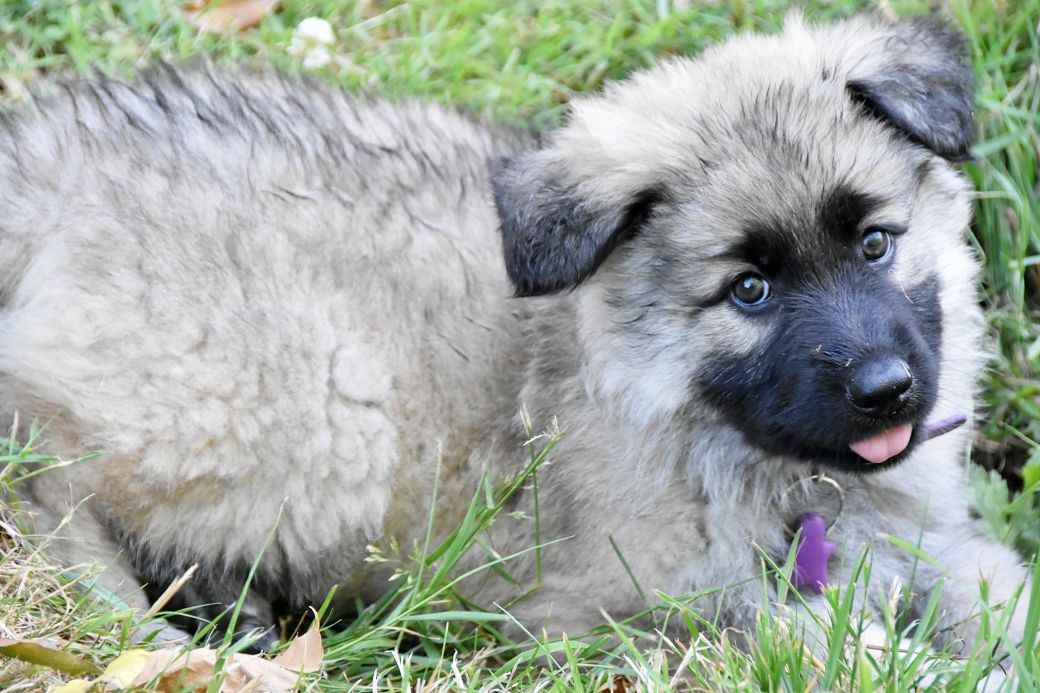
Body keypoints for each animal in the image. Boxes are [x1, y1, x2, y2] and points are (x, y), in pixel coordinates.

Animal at [0, 13, 1029, 653]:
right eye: (749, 290)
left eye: (875, 242)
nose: (887, 390)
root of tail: (43, 161)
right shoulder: (623, 600)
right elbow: (801, 635)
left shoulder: (920, 541)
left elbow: (995, 590)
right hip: (294, 411)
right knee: (46, 487)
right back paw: (144, 624)